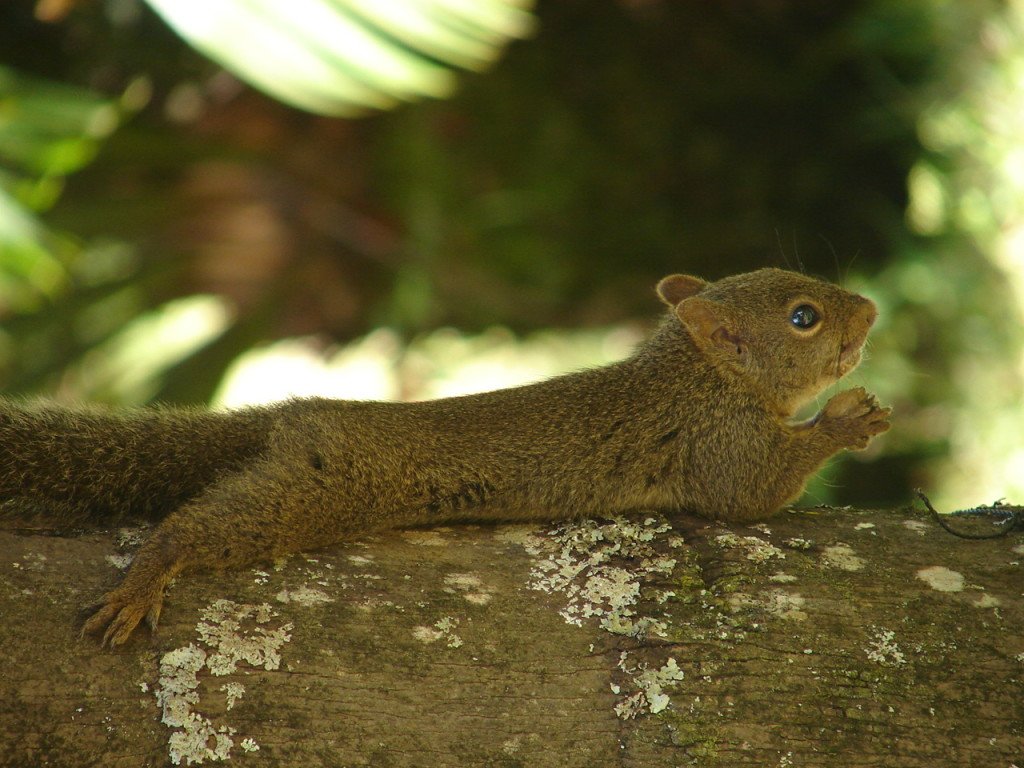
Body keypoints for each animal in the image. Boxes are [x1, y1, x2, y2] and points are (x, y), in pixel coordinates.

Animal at [0, 268, 888, 647]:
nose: (872, 309)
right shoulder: (717, 445)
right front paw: (848, 420)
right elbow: (754, 495)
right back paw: (146, 577)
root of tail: (298, 416)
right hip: (316, 490)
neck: (700, 374)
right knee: (198, 526)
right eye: (804, 316)